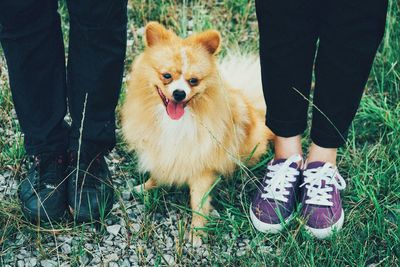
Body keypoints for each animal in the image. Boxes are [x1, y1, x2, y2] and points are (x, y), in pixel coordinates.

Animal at [121, 23, 272, 247]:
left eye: (193, 81)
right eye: (167, 76)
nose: (179, 93)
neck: (175, 122)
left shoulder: (202, 167)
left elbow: (198, 203)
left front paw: (197, 233)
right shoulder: (161, 149)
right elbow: (158, 170)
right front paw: (146, 186)